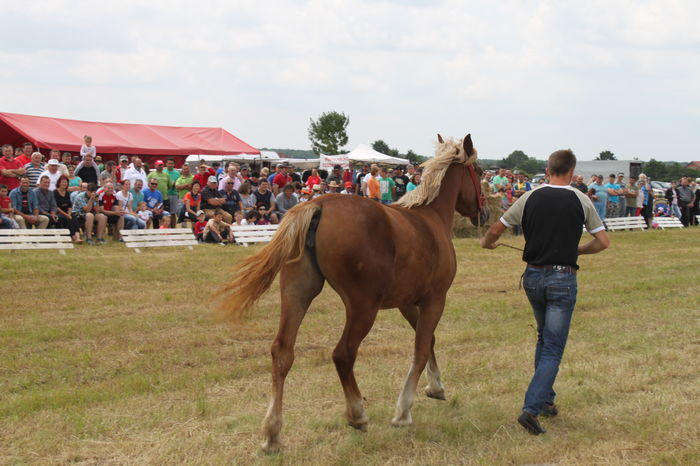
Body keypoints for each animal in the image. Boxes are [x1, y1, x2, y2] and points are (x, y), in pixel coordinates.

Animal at [217, 134, 489, 452]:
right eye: (479, 172)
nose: (485, 212)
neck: (429, 217)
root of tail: (318, 205)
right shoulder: (435, 299)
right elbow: (421, 349)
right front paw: (403, 411)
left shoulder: (408, 303)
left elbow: (429, 341)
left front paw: (436, 386)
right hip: (362, 307)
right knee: (343, 354)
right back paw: (357, 414)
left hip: (297, 294)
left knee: (282, 352)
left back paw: (273, 434)